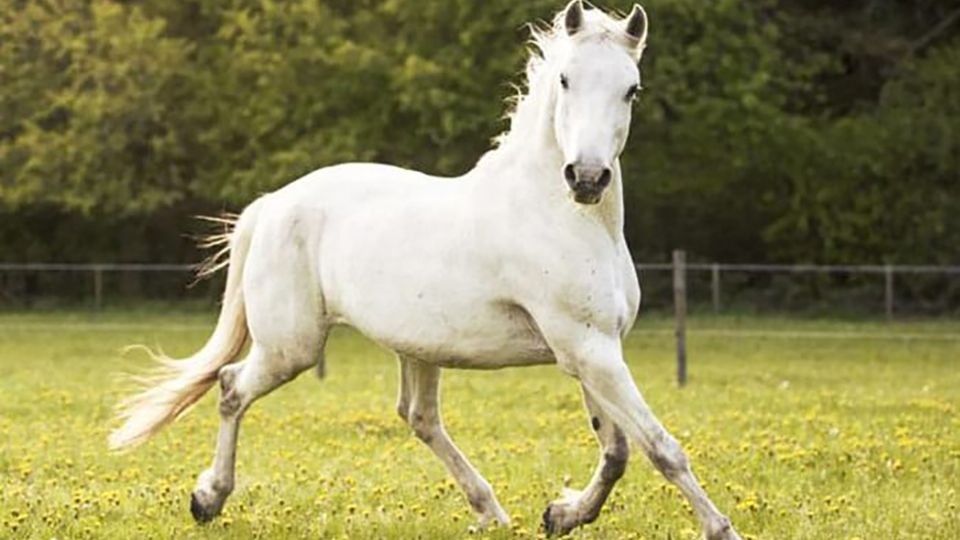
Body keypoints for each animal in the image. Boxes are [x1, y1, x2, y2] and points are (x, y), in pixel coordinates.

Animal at [110, 2, 744, 536]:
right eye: (566, 80)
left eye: (631, 89)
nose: (586, 178)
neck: (561, 216)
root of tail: (272, 204)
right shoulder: (589, 349)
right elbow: (659, 447)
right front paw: (721, 529)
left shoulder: (592, 350)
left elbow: (616, 451)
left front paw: (561, 514)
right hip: (292, 346)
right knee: (230, 387)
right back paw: (208, 498)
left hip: (417, 346)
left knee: (417, 417)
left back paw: (490, 510)